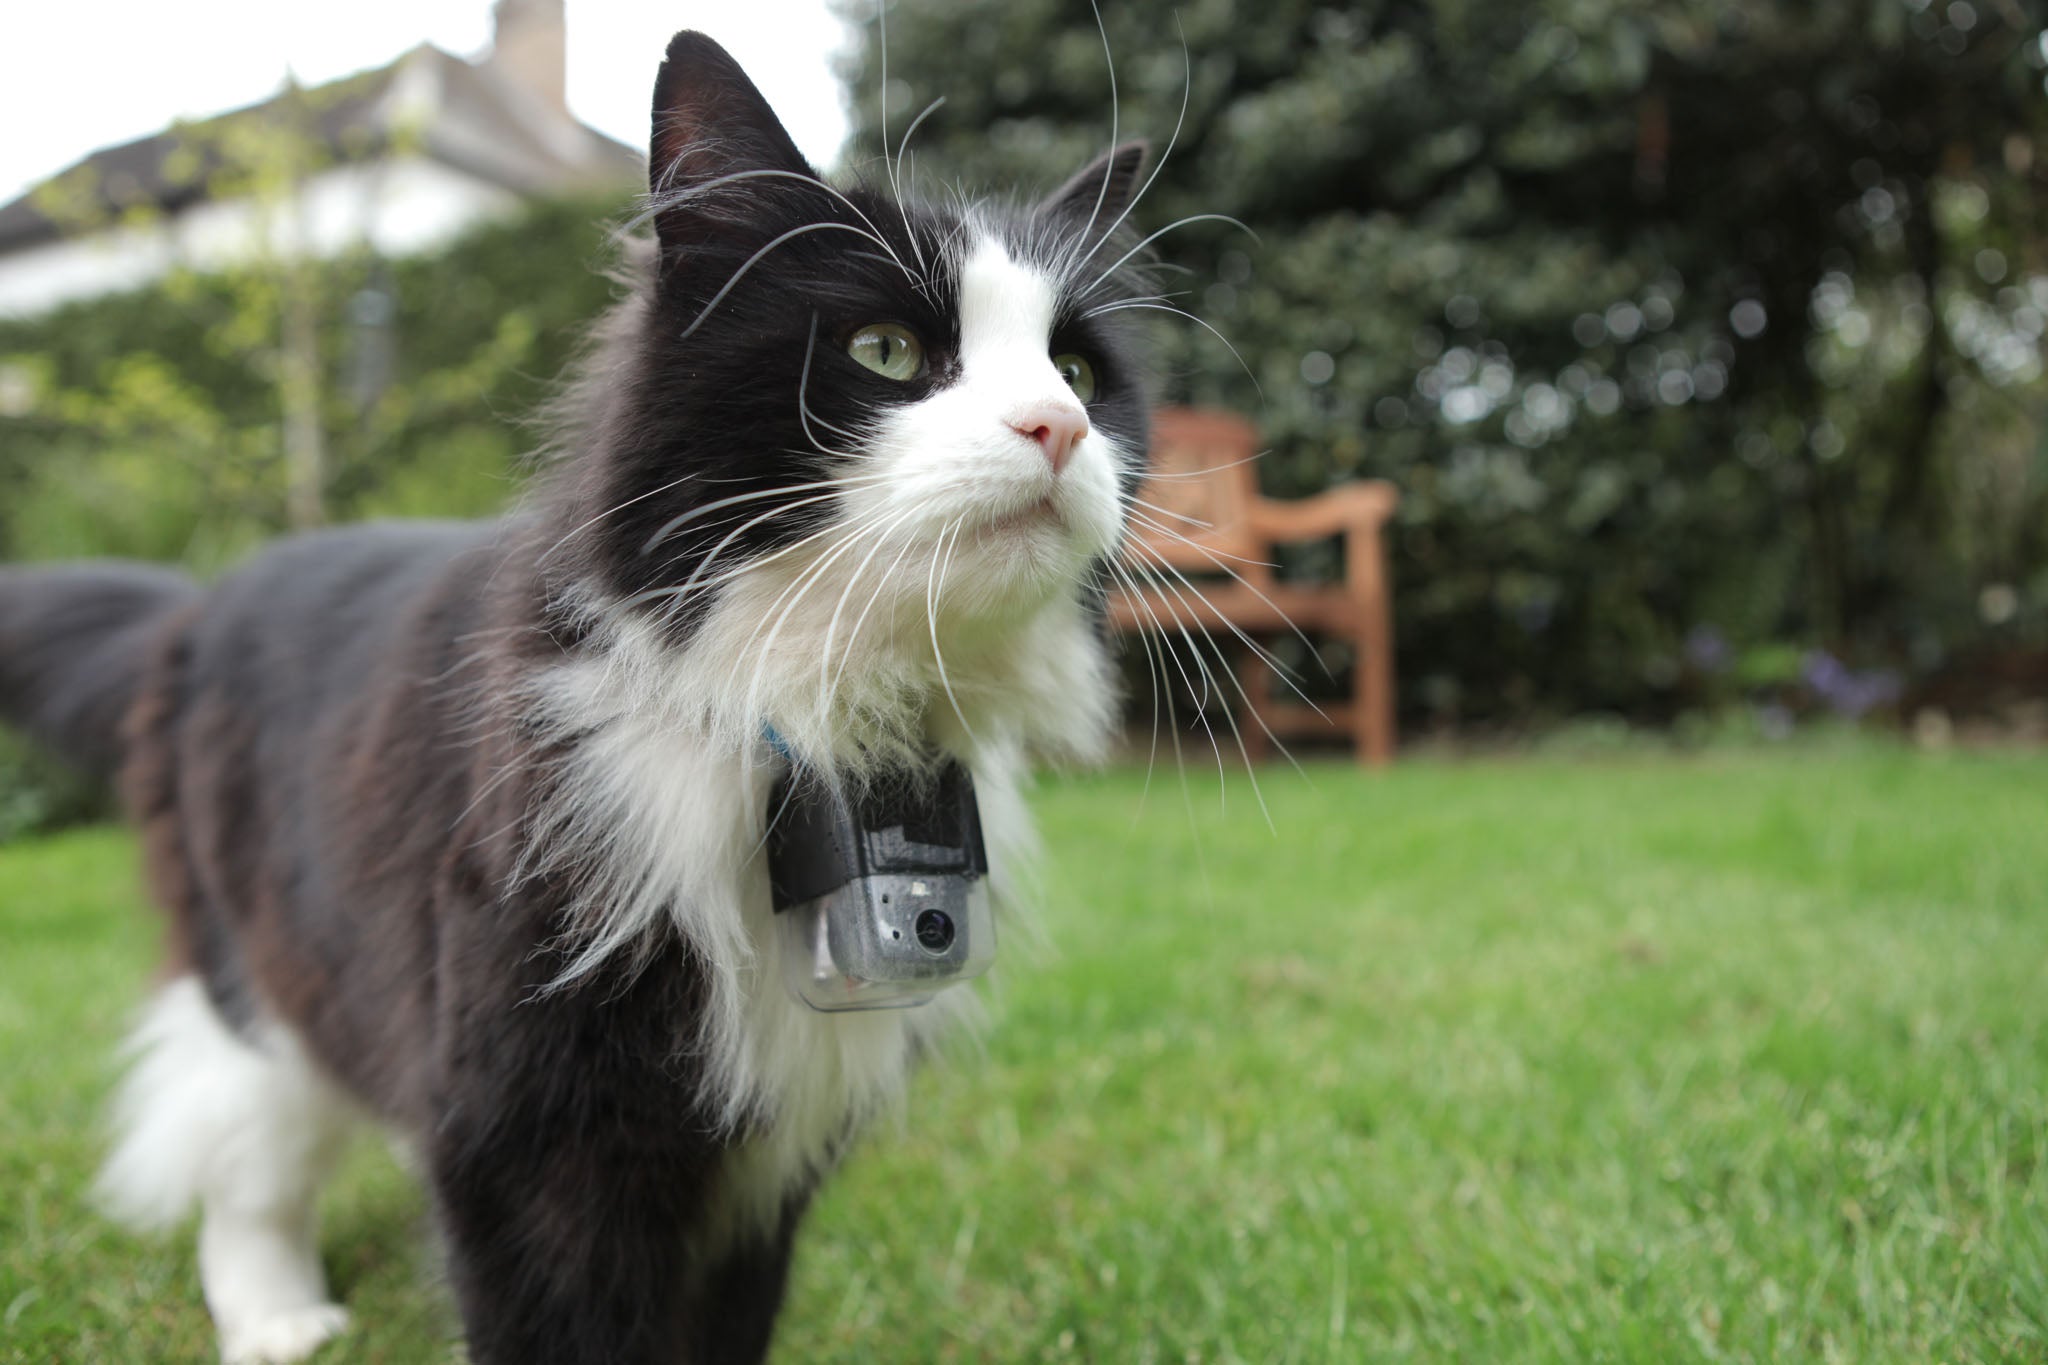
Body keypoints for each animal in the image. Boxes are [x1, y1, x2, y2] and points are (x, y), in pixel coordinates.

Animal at [0, 29, 1155, 1365]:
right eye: (886, 353)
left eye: (1076, 370)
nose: (1058, 428)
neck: (809, 723)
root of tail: (203, 602)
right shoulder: (524, 1135)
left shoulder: (765, 1152)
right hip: (263, 964)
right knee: (241, 1154)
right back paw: (281, 1318)